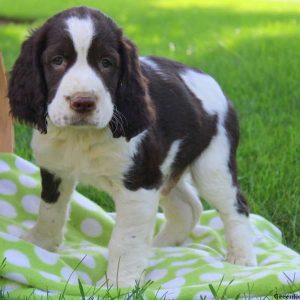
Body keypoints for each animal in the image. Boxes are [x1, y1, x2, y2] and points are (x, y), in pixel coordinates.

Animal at [7, 5, 255, 288]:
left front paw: (118, 283)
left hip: (213, 163)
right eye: (57, 60)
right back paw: (161, 247)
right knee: (188, 208)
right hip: (166, 169)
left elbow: (125, 241)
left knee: (235, 205)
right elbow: (50, 210)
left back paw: (242, 259)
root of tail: (213, 83)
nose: (83, 102)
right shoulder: (55, 169)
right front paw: (39, 244)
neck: (81, 136)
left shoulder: (139, 183)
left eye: (106, 63)